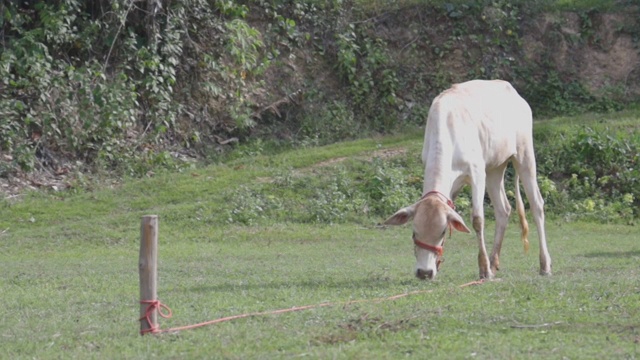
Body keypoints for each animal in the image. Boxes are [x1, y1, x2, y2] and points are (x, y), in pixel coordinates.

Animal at [382, 80, 552, 280]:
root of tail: (513, 91)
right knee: (503, 209)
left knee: (536, 205)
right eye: (414, 233)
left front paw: (484, 269)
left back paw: (544, 264)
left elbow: (477, 219)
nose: (424, 272)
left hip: (524, 155)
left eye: (441, 232)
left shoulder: (477, 173)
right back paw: (494, 262)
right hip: (494, 168)